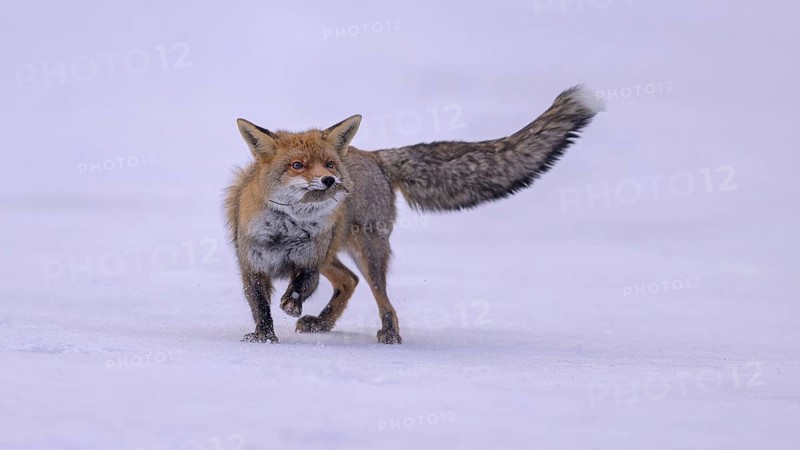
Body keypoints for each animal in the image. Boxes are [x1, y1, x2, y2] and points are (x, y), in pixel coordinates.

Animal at [225, 85, 603, 344]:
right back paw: (322, 324)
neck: (288, 230)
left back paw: (388, 334)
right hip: (340, 253)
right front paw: (263, 338)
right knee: (350, 281)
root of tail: (373, 155)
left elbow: (301, 285)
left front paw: (291, 305)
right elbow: (259, 305)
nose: (331, 180)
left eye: (328, 164)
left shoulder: (310, 260)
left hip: (367, 253)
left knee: (379, 296)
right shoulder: (251, 264)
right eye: (297, 165)